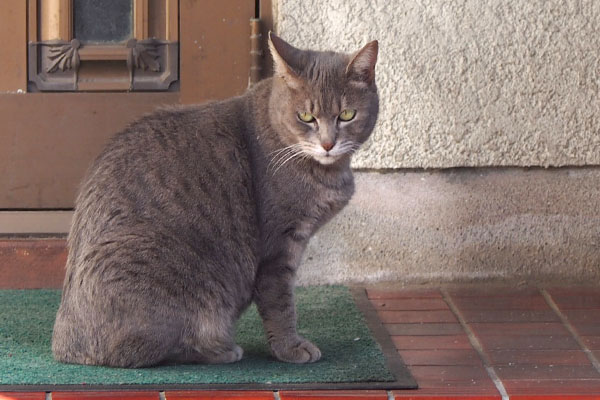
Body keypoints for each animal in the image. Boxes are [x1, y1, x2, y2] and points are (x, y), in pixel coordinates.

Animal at [52, 32, 380, 368]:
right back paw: (221, 350)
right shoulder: (277, 249)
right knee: (143, 351)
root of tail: (64, 345)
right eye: (306, 116)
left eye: (346, 115)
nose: (328, 144)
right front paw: (291, 347)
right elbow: (281, 305)